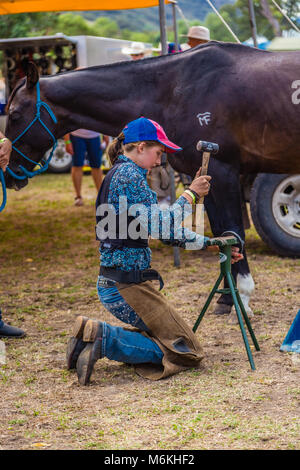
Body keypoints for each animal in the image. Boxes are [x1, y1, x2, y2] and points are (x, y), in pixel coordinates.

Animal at [4, 42, 300, 316]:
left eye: (15, 114)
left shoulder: (223, 170)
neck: (176, 90)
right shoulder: (208, 176)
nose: (9, 173)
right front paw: (227, 299)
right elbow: (222, 233)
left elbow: (233, 230)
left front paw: (244, 296)